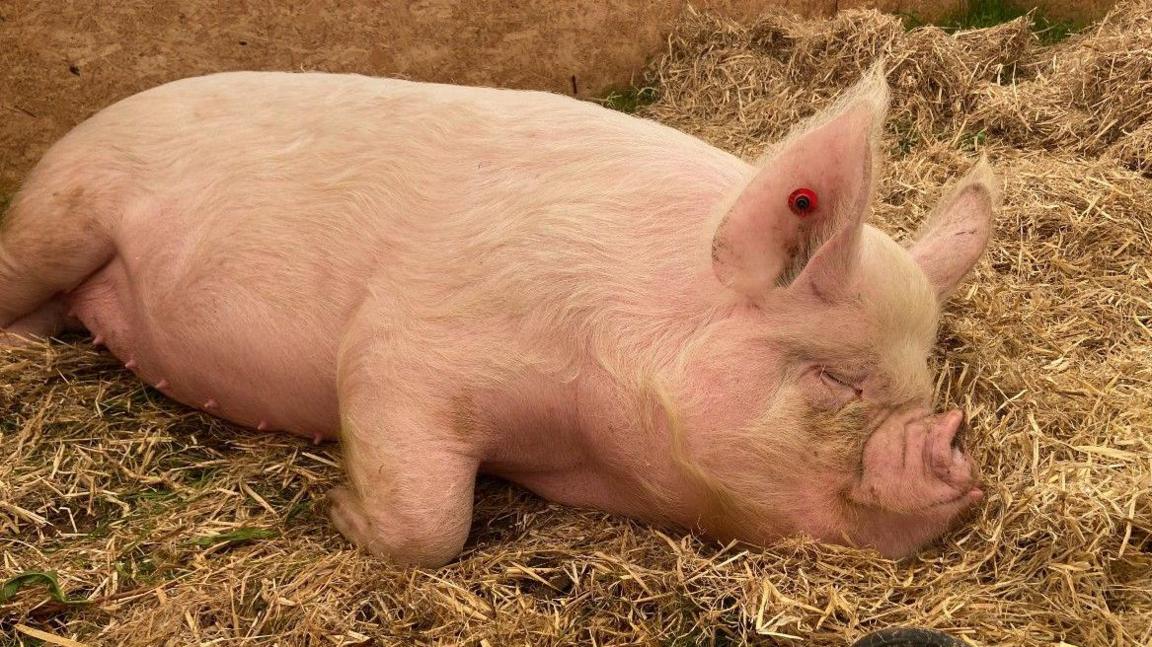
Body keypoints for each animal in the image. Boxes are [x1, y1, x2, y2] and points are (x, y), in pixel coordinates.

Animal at [0, 69, 995, 564]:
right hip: (57, 213)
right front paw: (338, 513)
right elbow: (430, 524)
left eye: (922, 387)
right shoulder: (402, 350)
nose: (951, 448)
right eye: (837, 379)